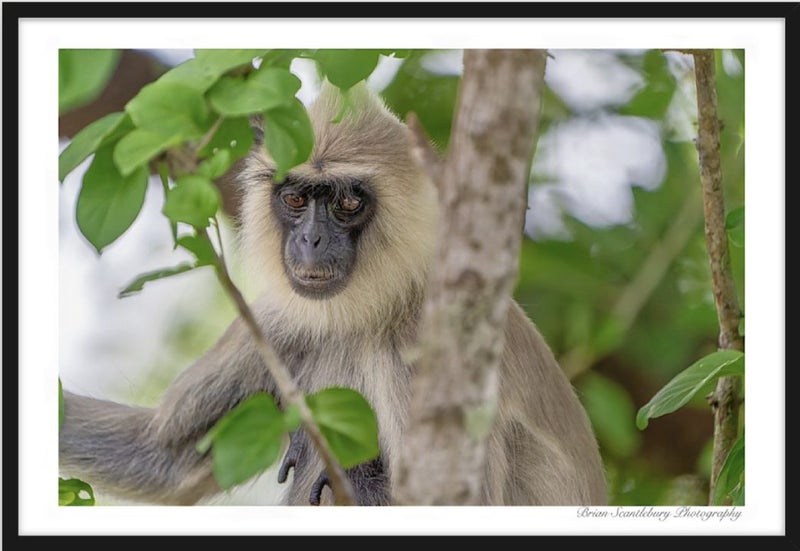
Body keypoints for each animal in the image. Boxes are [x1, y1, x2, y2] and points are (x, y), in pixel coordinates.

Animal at [59, 81, 608, 506]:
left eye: (346, 202)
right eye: (296, 199)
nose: (311, 240)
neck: (369, 312)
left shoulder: (422, 343)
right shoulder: (279, 320)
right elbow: (163, 457)